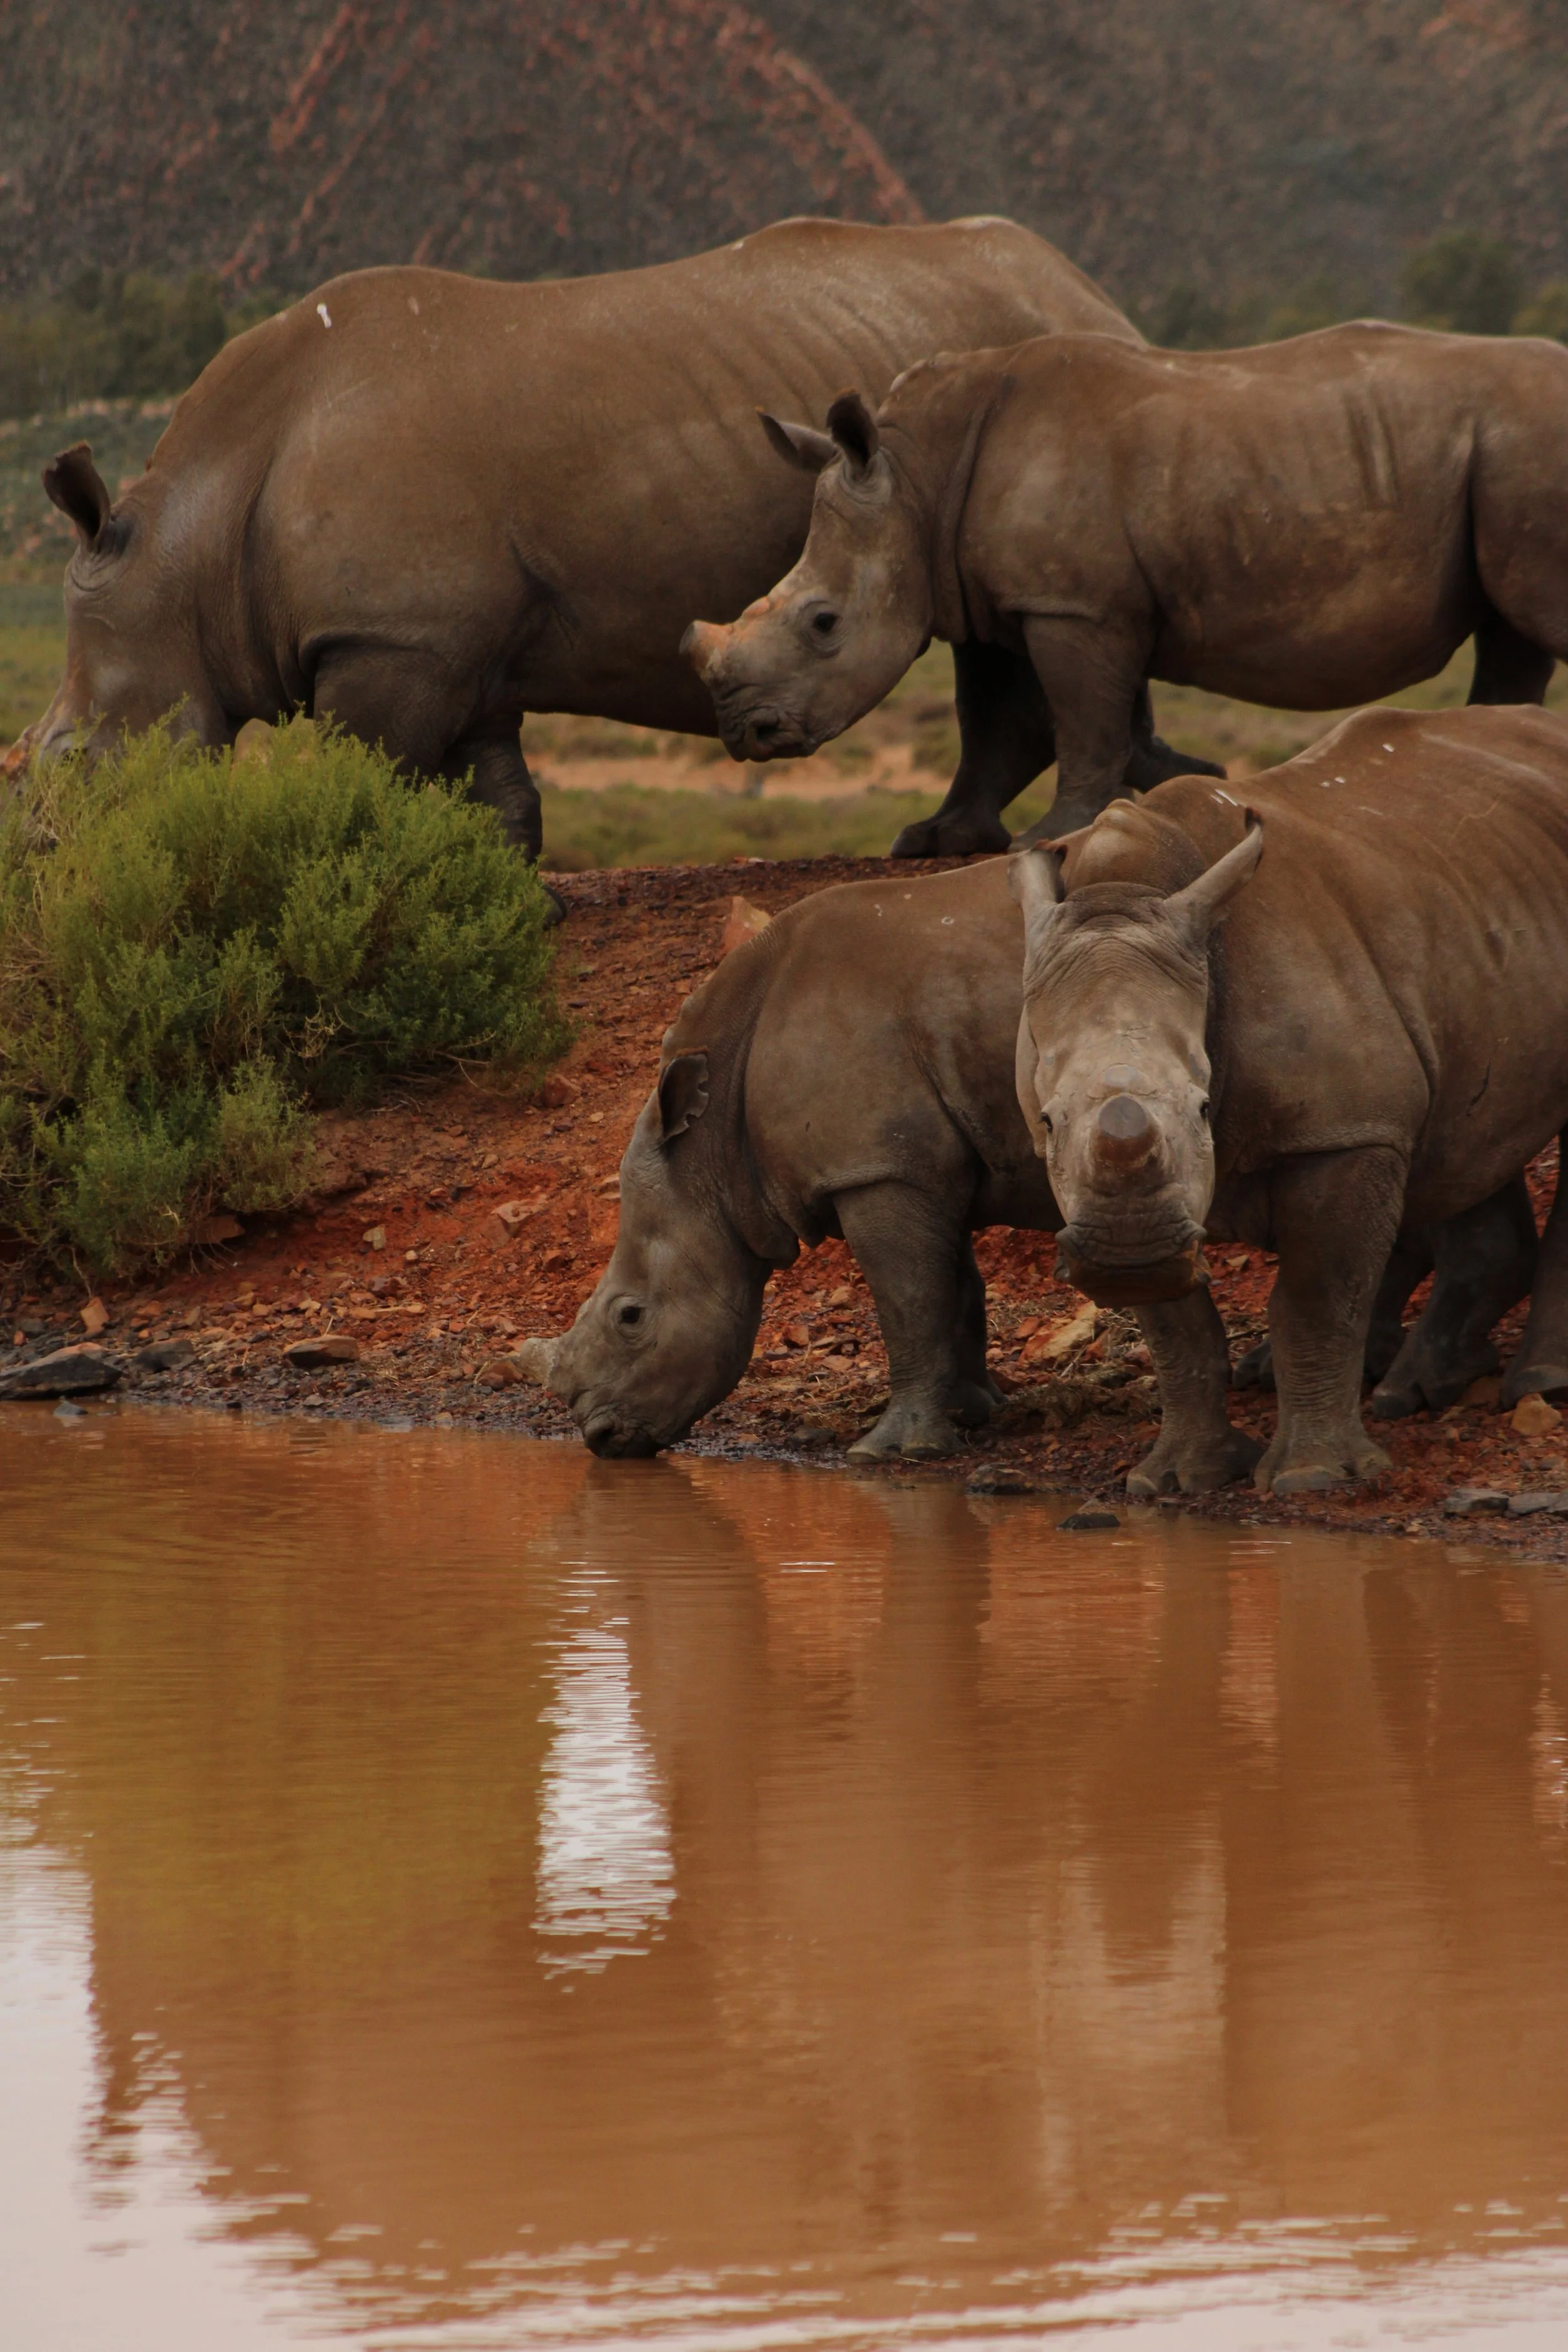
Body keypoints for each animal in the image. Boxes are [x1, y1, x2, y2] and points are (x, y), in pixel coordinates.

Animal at [5, 216, 1181, 883]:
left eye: (65, 761)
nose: (49, 871)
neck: (185, 551)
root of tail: (1092, 289)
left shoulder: (389, 639)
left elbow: (365, 774)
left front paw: (348, 873)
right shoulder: (448, 638)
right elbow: (494, 778)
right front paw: (502, 888)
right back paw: (981, 835)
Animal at [541, 861, 1058, 1459]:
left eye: (631, 1316)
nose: (600, 1439)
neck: (713, 1151)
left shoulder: (875, 1169)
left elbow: (909, 1303)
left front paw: (895, 1449)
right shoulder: (916, 1163)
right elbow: (957, 1289)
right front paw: (970, 1412)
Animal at [685, 323, 1568, 850]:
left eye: (823, 622)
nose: (745, 734)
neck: (915, 479)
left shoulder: (1073, 606)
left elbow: (1081, 720)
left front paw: (1052, 837)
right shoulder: (1003, 599)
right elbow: (996, 725)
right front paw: (935, 840)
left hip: (1528, 442)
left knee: (1532, 619)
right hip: (1504, 457)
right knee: (1512, 634)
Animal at [1009, 705, 1568, 1497]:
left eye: (1204, 1107)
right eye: (1048, 1121)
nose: (1129, 1252)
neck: (1124, 897)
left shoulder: (1344, 1131)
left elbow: (1316, 1299)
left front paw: (1313, 1479)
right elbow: (1177, 1330)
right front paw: (1178, 1481)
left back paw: (1538, 1387)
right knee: (1469, 1121)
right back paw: (1415, 1391)